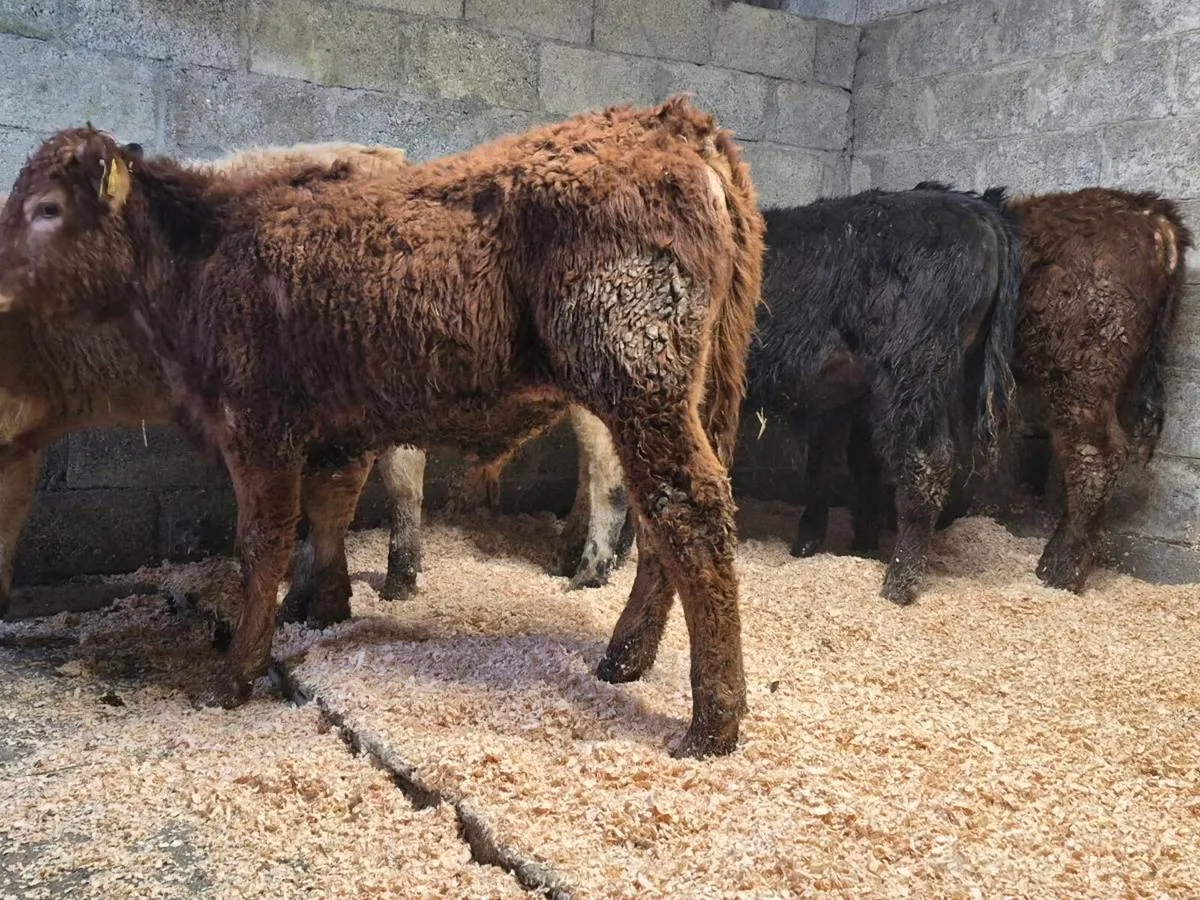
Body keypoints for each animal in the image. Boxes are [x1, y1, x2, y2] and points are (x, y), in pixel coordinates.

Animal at [0, 97, 765, 758]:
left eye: (47, 209)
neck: (211, 247)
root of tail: (671, 120)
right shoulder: (335, 431)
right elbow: (327, 515)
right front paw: (325, 606)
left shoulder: (258, 427)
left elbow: (263, 542)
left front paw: (234, 674)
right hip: (687, 395)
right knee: (662, 522)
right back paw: (624, 660)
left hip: (635, 383)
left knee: (687, 512)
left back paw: (710, 725)